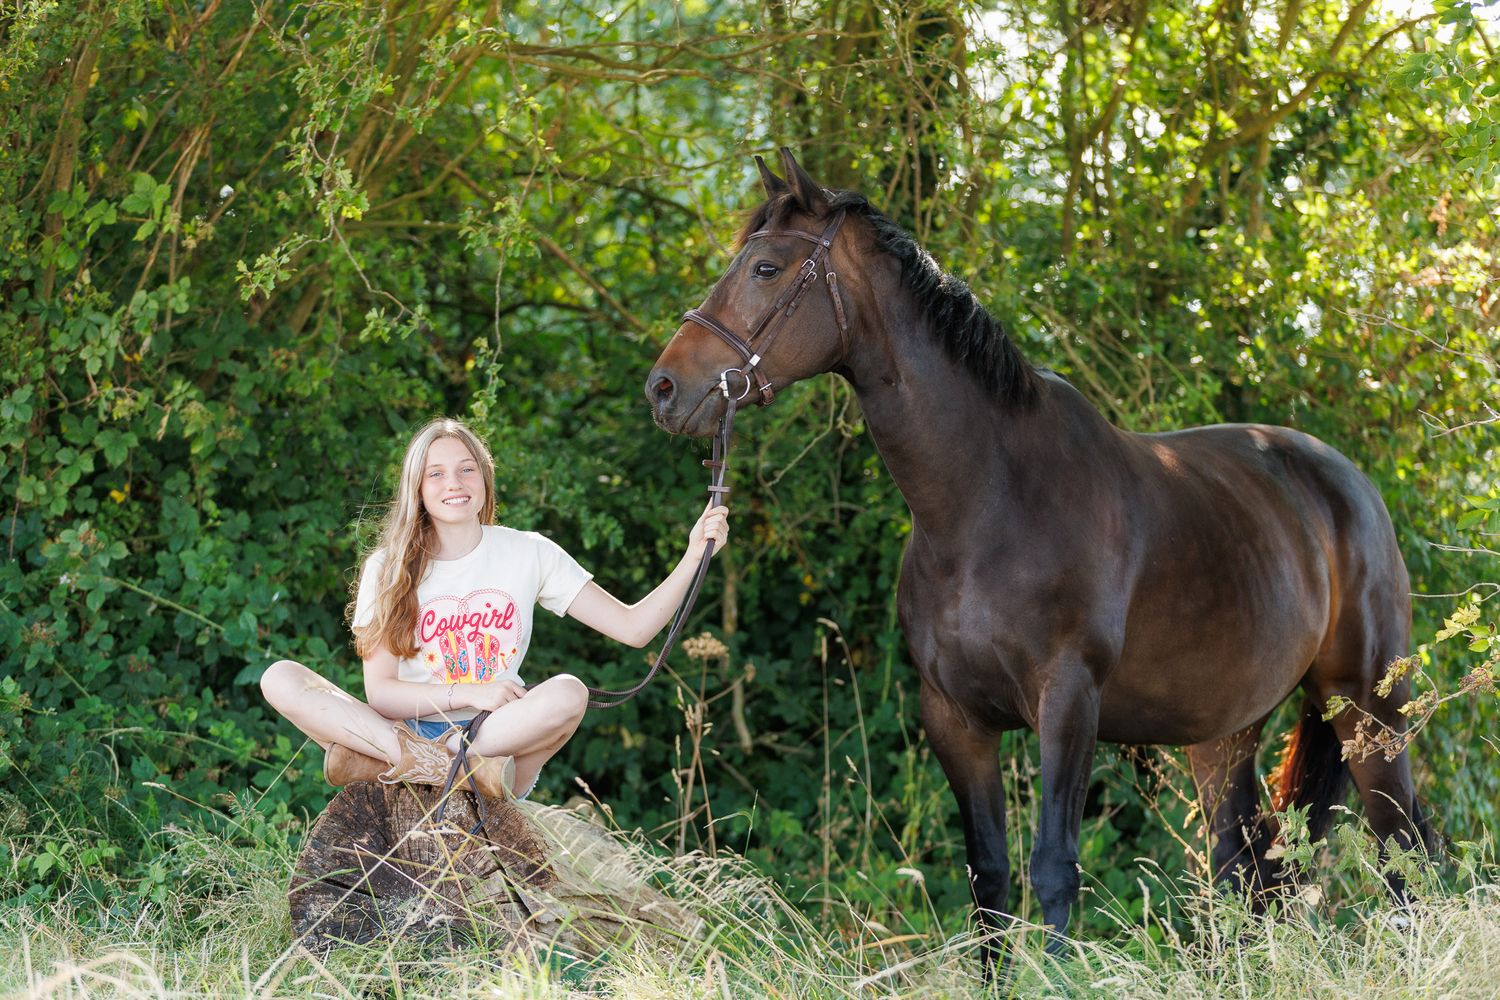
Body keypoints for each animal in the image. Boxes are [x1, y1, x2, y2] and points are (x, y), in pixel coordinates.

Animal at [645, 147, 1432, 958]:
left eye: (766, 268)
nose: (664, 388)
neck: (988, 503)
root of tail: (1351, 487)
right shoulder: (955, 719)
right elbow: (988, 880)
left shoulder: (1068, 704)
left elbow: (1053, 869)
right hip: (1224, 733)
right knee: (1243, 866)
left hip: (1368, 706)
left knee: (1401, 848)